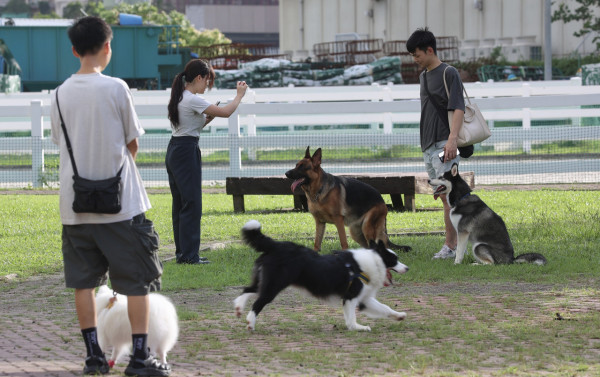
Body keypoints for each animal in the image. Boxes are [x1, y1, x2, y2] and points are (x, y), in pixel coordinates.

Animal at [233, 219, 408, 330]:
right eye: (394, 259)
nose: (407, 268)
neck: (373, 260)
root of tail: (276, 245)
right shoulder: (351, 297)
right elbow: (351, 317)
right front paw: (357, 327)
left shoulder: (364, 298)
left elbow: (384, 308)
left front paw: (399, 316)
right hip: (274, 285)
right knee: (258, 302)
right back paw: (250, 323)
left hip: (265, 281)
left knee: (247, 289)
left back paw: (239, 308)